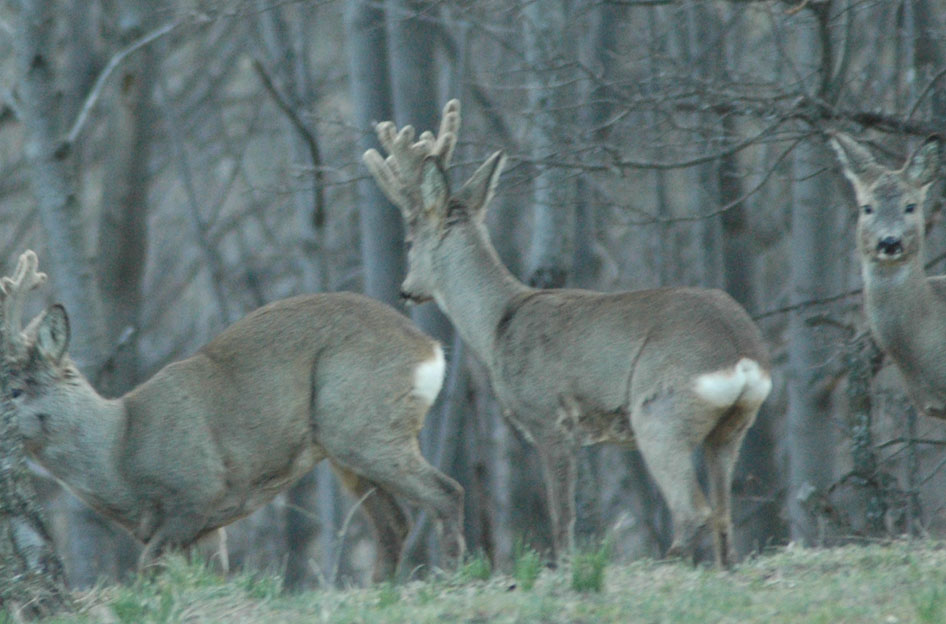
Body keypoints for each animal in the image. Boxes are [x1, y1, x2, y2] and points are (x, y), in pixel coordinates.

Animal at [0, 251, 464, 584]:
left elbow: (147, 570)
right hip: (345, 447)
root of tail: (429, 349)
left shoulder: (196, 491)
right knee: (396, 523)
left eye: (15, 389)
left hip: (361, 423)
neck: (120, 451)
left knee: (447, 493)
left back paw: (451, 577)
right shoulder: (209, 527)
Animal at [362, 100, 768, 568]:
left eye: (409, 239)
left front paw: (563, 566)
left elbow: (562, 515)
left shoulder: (547, 416)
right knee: (723, 515)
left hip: (660, 411)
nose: (405, 290)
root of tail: (740, 354)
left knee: (693, 510)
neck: (497, 324)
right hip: (732, 427)